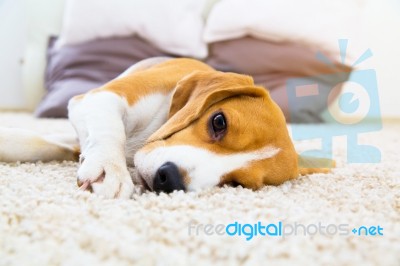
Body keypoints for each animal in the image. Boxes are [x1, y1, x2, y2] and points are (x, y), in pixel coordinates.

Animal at [0, 57, 332, 197]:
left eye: (238, 184)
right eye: (219, 122)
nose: (169, 178)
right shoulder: (98, 98)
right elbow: (107, 132)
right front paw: (110, 168)